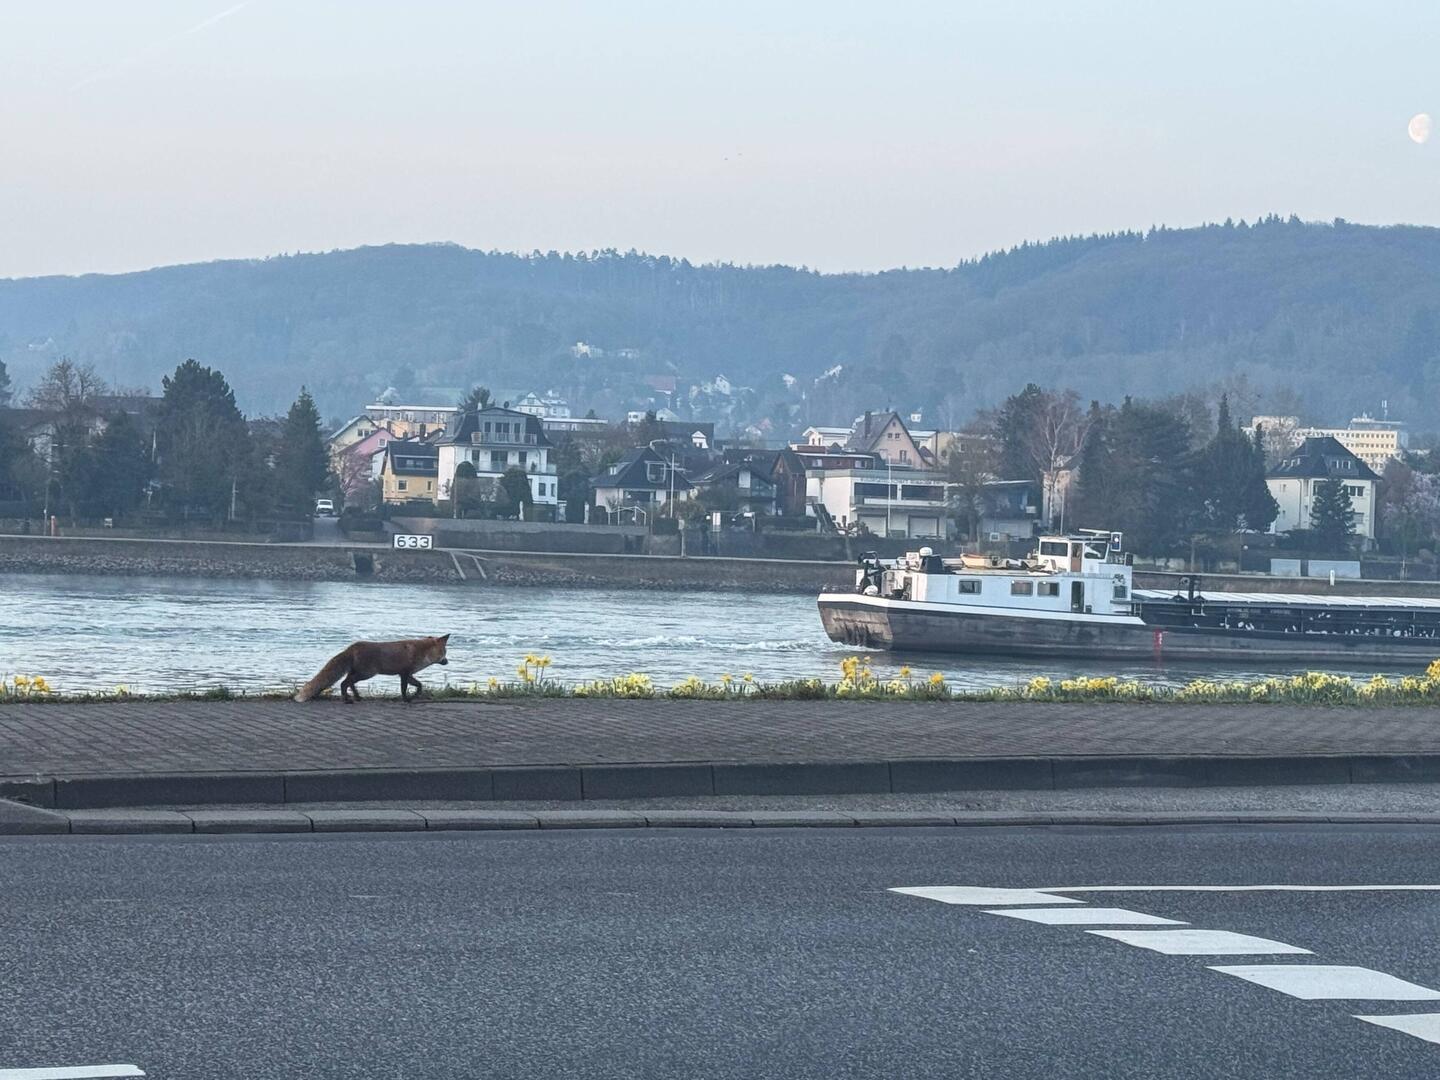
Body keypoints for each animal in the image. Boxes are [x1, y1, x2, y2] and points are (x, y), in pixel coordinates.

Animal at [294, 635, 450, 703]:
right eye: (444, 652)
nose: (447, 662)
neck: (421, 652)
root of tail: (352, 647)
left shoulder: (406, 674)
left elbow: (419, 686)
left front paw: (413, 697)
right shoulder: (405, 673)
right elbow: (404, 689)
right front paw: (406, 699)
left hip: (358, 673)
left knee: (349, 683)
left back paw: (357, 697)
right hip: (366, 673)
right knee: (344, 683)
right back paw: (347, 699)